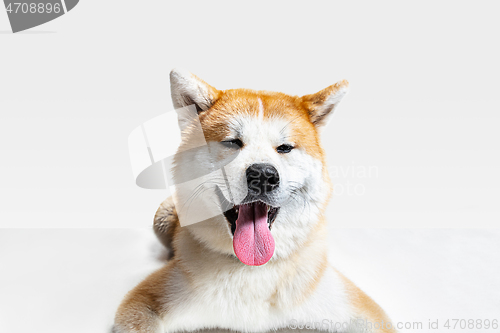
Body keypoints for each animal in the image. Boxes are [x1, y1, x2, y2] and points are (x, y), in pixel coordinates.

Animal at [113, 68, 394, 330]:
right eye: (232, 142)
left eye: (284, 148)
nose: (263, 174)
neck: (252, 267)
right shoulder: (144, 303)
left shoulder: (362, 311)